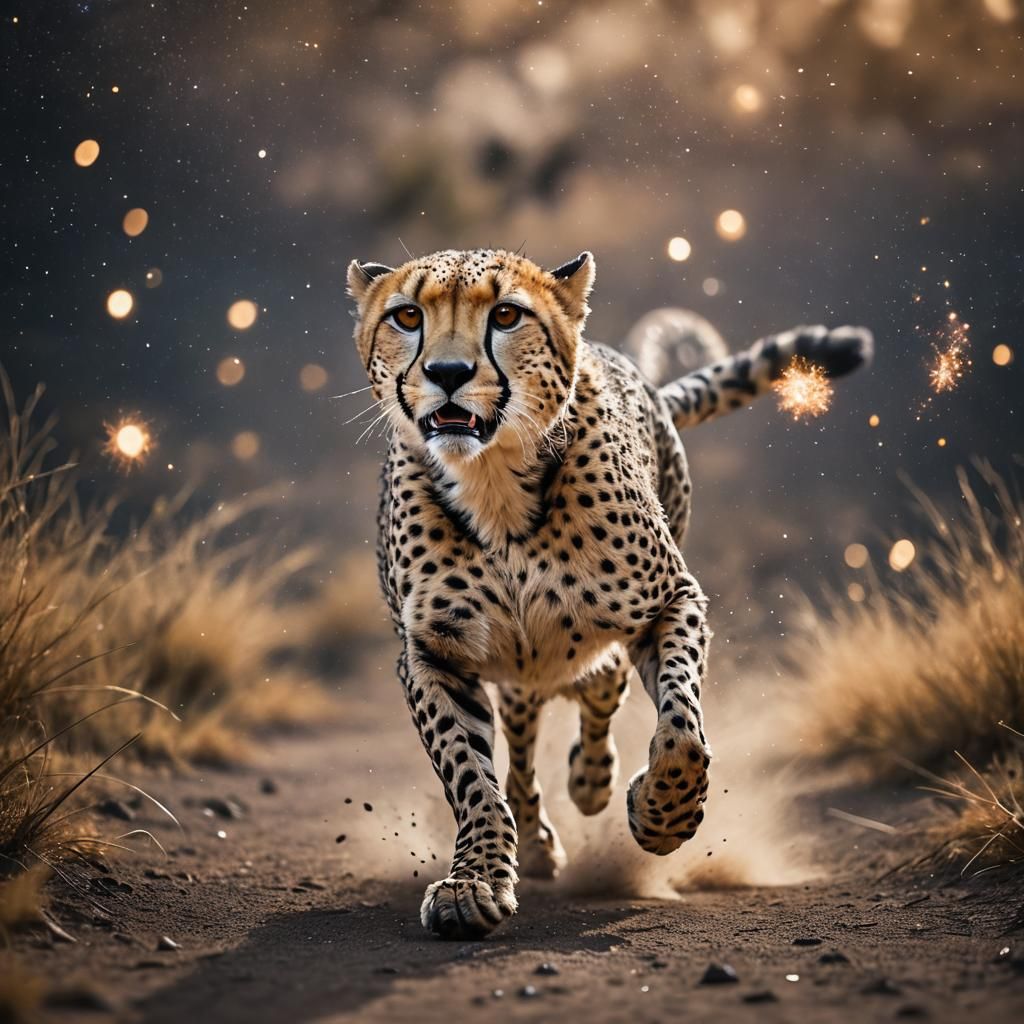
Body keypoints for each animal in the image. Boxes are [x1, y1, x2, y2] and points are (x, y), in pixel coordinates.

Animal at [346, 247, 872, 940]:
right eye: (407, 316)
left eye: (506, 315)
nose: (448, 372)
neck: (494, 483)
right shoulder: (433, 654)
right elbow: (470, 775)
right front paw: (474, 882)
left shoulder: (673, 601)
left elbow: (683, 732)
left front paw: (662, 816)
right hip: (519, 671)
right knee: (522, 742)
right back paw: (539, 841)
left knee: (601, 685)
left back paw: (592, 782)